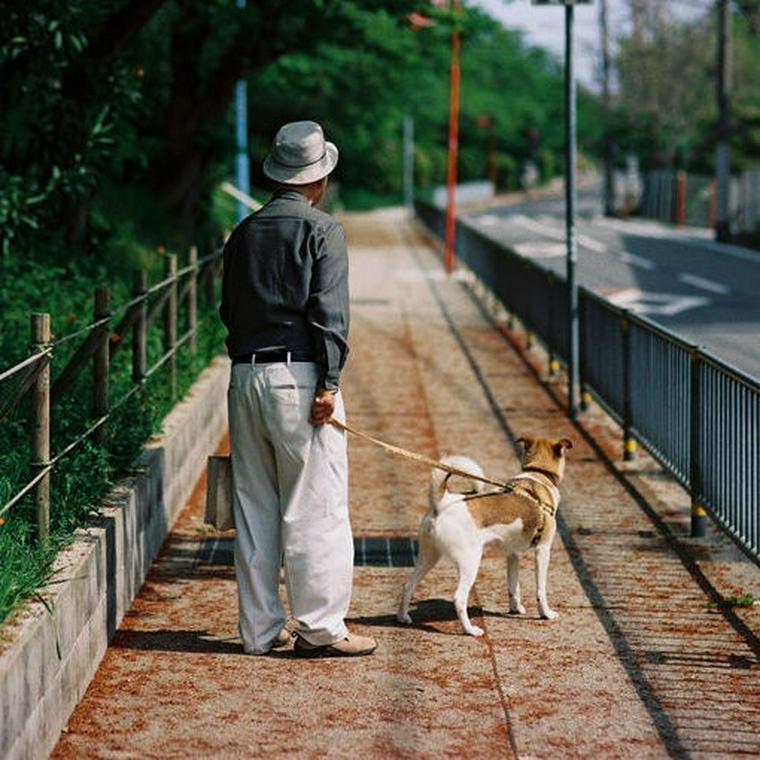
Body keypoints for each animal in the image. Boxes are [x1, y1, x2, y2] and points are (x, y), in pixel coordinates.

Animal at [398, 434, 568, 636]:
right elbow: (541, 590)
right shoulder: (543, 551)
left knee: (408, 584)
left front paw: (515, 608)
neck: (537, 474)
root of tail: (442, 502)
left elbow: (513, 586)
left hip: (429, 556)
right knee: (459, 598)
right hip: (470, 561)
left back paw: (403, 617)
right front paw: (546, 613)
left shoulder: (513, 555)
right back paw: (470, 630)